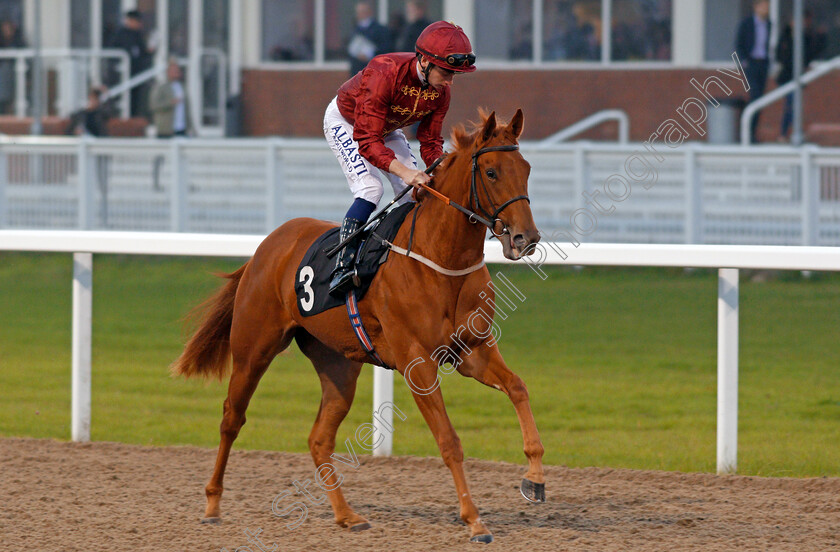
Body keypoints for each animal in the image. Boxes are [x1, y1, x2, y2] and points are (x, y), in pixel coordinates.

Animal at [174, 109, 548, 544]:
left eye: (526, 168)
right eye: (491, 172)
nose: (526, 238)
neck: (441, 259)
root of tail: (265, 247)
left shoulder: (472, 350)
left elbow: (518, 388)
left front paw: (535, 478)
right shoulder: (417, 364)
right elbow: (449, 440)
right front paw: (474, 520)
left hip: (338, 364)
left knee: (319, 438)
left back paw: (347, 515)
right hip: (254, 349)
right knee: (232, 419)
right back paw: (213, 504)